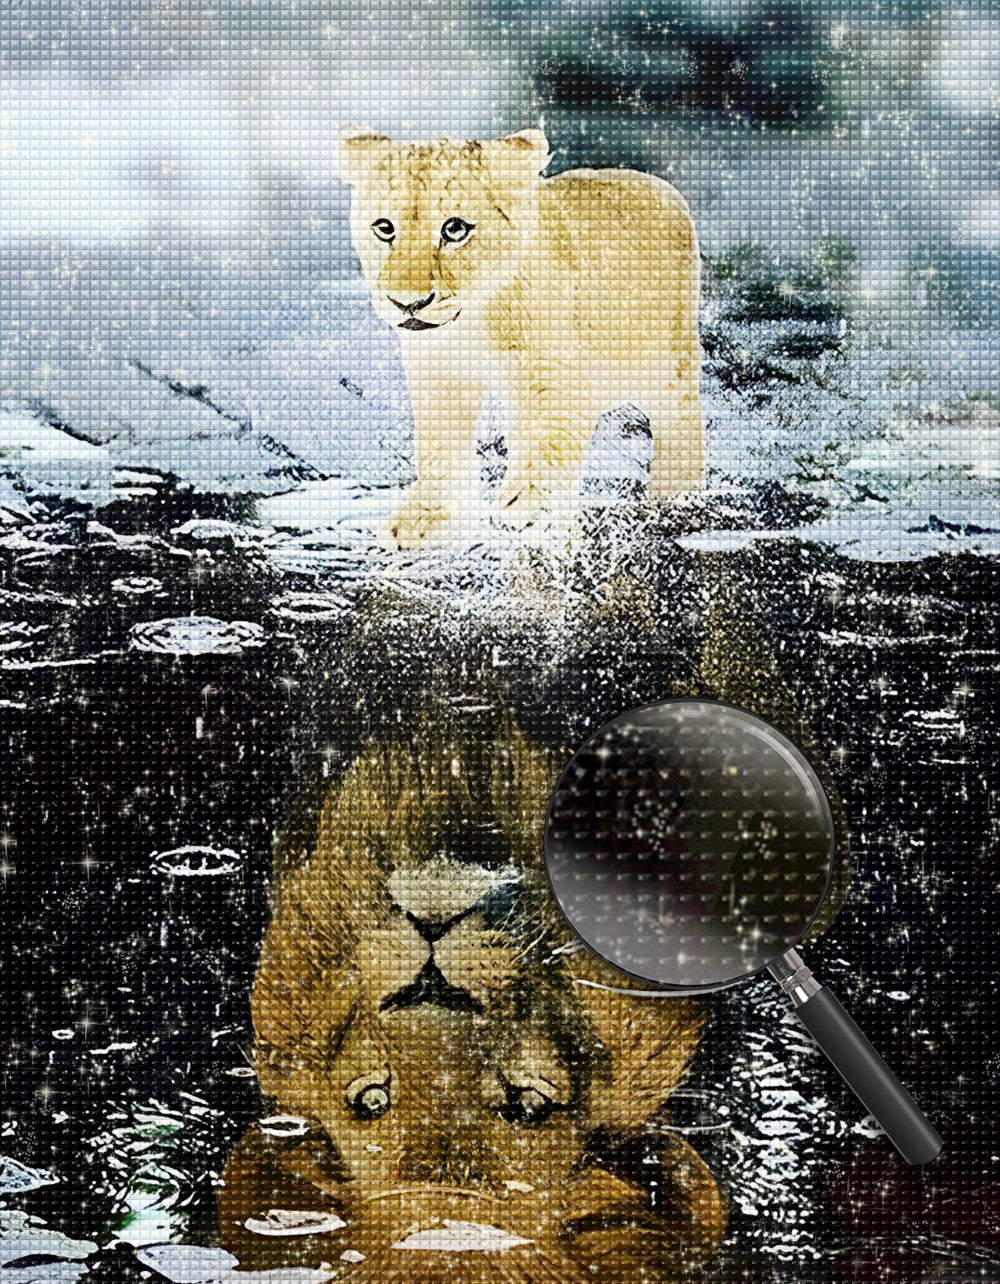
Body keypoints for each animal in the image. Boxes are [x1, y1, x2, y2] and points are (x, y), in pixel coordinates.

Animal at [337, 128, 703, 548]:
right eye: (384, 228)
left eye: (454, 229)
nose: (407, 303)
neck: (470, 323)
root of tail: (657, 184)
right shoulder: (436, 375)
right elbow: (437, 445)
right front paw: (427, 518)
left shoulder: (556, 372)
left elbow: (548, 438)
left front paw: (528, 505)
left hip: (664, 361)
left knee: (681, 421)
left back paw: (673, 495)